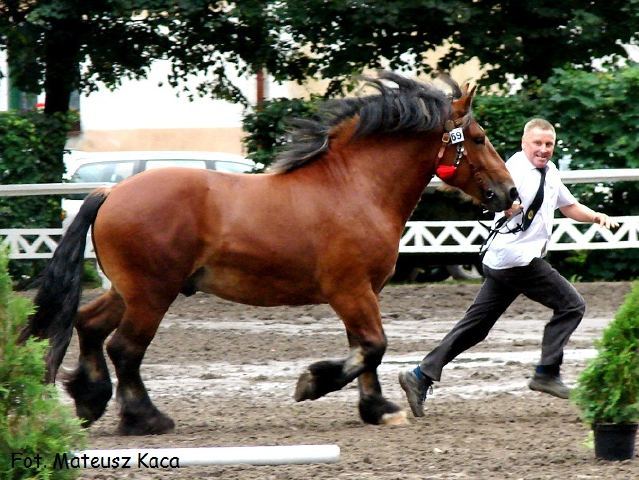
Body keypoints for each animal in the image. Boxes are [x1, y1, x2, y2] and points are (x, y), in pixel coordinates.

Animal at [21, 71, 520, 436]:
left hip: (128, 290)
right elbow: (372, 347)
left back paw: (89, 399)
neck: (354, 188)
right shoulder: (350, 290)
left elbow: (366, 350)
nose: (511, 192)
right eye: (478, 137)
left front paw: (377, 408)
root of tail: (111, 191)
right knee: (124, 348)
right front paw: (312, 383)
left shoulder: (364, 292)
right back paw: (145, 418)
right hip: (152, 294)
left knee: (89, 325)